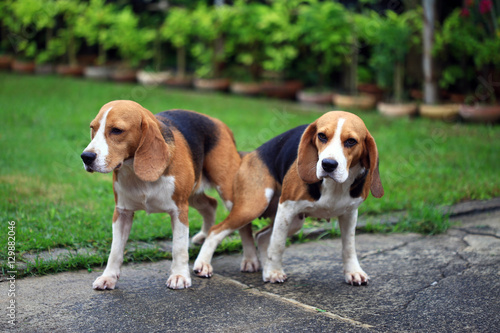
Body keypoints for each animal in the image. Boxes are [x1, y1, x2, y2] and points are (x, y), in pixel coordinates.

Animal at [80, 100, 240, 290]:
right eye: (93, 128)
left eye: (117, 130)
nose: (86, 156)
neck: (134, 170)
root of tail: (219, 123)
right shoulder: (122, 212)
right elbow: (115, 249)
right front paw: (108, 277)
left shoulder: (179, 210)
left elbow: (179, 247)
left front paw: (179, 275)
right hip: (193, 194)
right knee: (211, 204)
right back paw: (204, 236)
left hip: (227, 192)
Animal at [193, 110, 384, 284]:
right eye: (322, 136)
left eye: (351, 141)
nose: (328, 165)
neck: (333, 185)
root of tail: (248, 154)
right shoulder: (286, 208)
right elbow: (278, 244)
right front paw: (274, 272)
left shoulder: (350, 213)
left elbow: (349, 246)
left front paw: (353, 272)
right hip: (252, 207)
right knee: (215, 231)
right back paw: (203, 264)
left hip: (295, 221)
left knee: (261, 236)